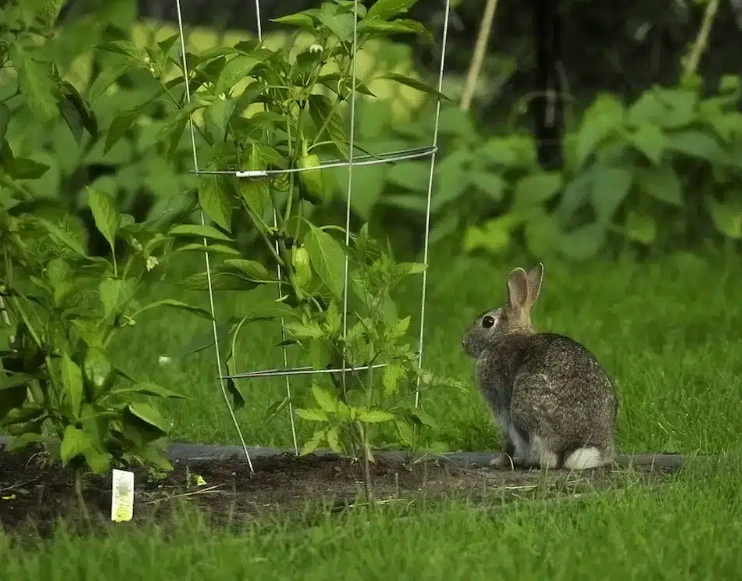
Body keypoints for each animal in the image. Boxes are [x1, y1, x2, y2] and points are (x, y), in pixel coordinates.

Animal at [462, 263, 618, 470]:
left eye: (488, 322)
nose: (464, 342)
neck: (505, 337)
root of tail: (578, 446)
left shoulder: (502, 407)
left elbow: (507, 441)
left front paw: (499, 461)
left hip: (524, 402)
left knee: (548, 459)